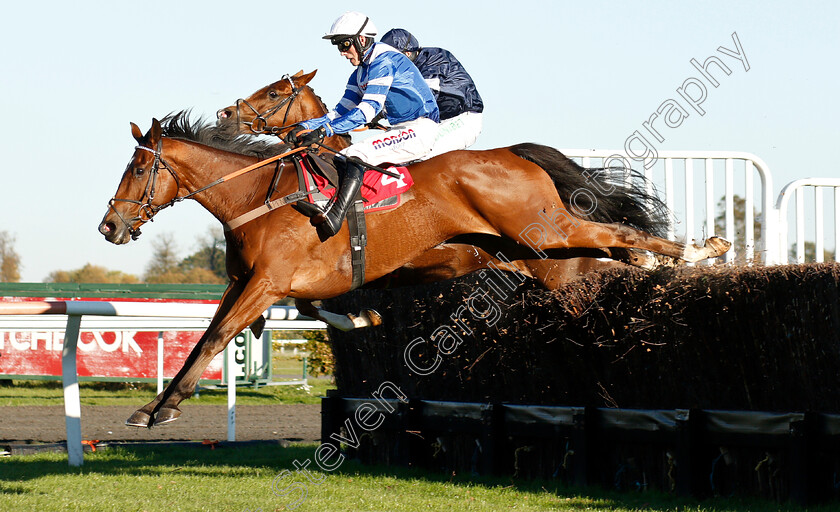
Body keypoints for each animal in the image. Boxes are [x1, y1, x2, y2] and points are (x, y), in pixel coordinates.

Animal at [100, 113, 728, 428]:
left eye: (138, 168)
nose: (110, 225)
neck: (262, 197)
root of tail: (515, 154)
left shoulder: (266, 282)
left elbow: (215, 339)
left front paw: (161, 409)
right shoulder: (252, 284)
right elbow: (214, 334)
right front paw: (154, 405)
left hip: (549, 231)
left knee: (621, 235)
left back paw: (702, 252)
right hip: (547, 261)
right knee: (606, 262)